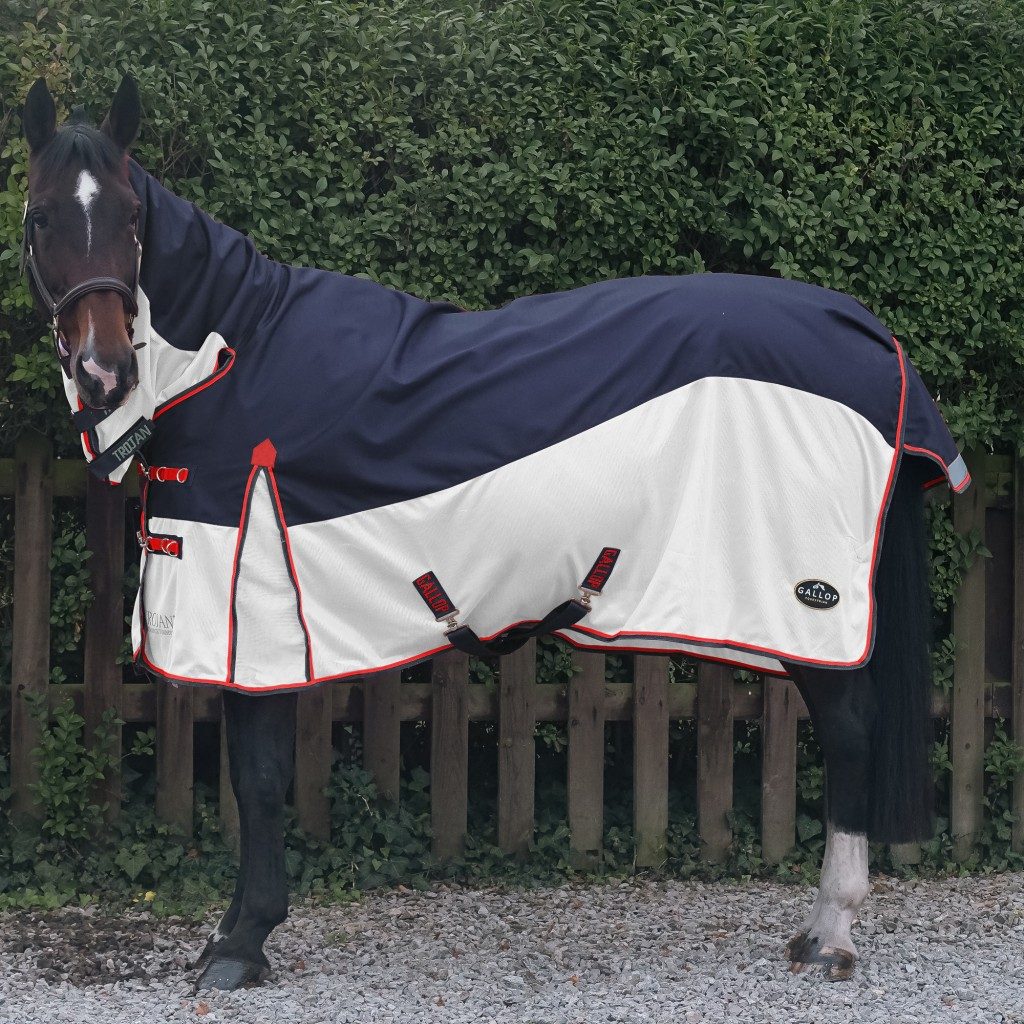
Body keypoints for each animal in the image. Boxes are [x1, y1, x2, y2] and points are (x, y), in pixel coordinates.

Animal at [20, 75, 968, 991]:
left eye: (131, 217)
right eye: (40, 217)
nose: (105, 370)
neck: (231, 362)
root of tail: (871, 337)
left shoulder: (251, 609)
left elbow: (255, 781)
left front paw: (241, 943)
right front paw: (233, 936)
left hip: (809, 606)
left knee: (850, 732)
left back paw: (832, 934)